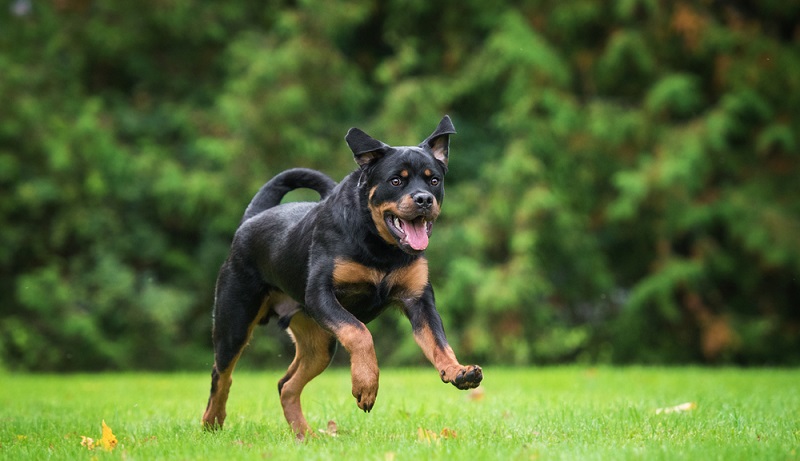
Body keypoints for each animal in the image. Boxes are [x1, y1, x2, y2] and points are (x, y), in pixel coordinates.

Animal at [203, 115, 484, 438]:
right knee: (222, 375)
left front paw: (458, 370)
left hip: (319, 343)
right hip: (235, 322)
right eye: (396, 181)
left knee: (286, 385)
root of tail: (250, 220)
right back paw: (212, 422)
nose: (424, 198)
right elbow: (360, 333)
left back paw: (305, 436)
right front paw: (366, 384)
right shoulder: (321, 295)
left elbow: (438, 342)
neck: (380, 246)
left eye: (434, 180)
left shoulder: (419, 301)